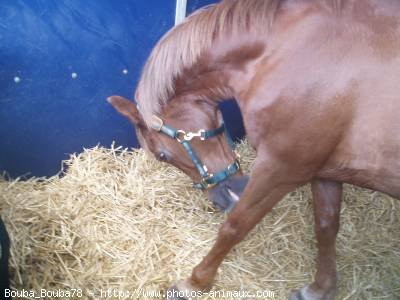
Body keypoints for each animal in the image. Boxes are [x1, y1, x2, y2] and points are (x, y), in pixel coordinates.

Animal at [106, 0, 400, 298]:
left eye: (162, 155)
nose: (221, 200)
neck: (282, 53)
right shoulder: (323, 170)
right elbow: (326, 225)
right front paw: (321, 288)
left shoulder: (282, 168)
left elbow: (235, 226)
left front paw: (194, 282)